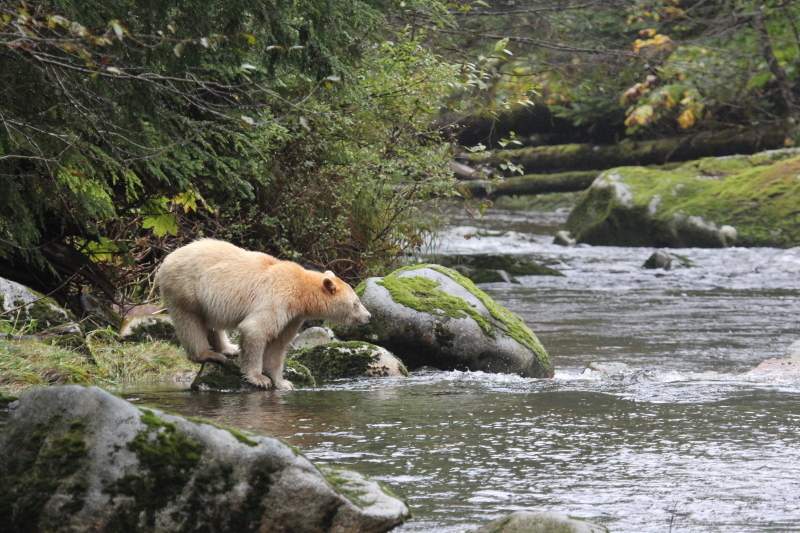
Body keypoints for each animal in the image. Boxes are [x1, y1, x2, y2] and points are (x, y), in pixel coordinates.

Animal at [156, 239, 372, 388]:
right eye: (356, 303)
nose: (368, 316)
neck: (300, 290)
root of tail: (166, 259)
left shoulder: (293, 316)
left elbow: (278, 343)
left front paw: (283, 382)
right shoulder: (278, 299)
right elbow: (256, 330)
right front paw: (259, 379)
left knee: (212, 322)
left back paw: (228, 348)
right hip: (185, 289)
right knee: (190, 322)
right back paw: (210, 355)